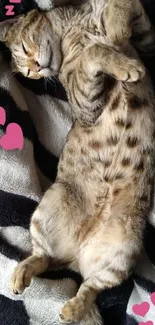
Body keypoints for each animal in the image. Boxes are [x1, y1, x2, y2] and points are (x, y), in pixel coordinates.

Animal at [0, 0, 155, 322]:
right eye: (27, 74)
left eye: (25, 47)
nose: (35, 70)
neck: (74, 25)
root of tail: (75, 255)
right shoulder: (85, 105)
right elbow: (93, 54)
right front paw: (117, 54)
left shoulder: (147, 41)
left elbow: (125, 9)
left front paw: (115, 25)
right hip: (46, 211)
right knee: (43, 257)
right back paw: (23, 275)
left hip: (123, 251)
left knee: (90, 286)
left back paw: (73, 307)